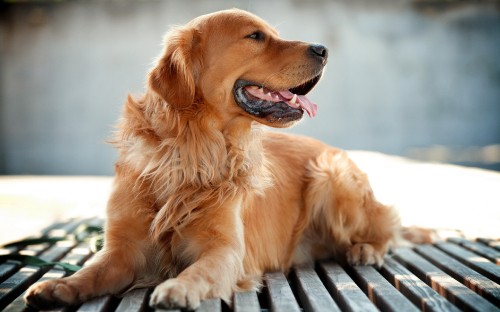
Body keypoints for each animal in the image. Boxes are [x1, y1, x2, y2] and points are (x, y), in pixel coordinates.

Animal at [25, 8, 398, 310]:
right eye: (255, 36)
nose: (323, 50)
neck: (191, 149)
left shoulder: (224, 249)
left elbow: (200, 270)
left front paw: (177, 288)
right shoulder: (123, 248)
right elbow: (92, 271)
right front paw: (59, 286)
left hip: (332, 180)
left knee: (387, 226)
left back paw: (366, 249)